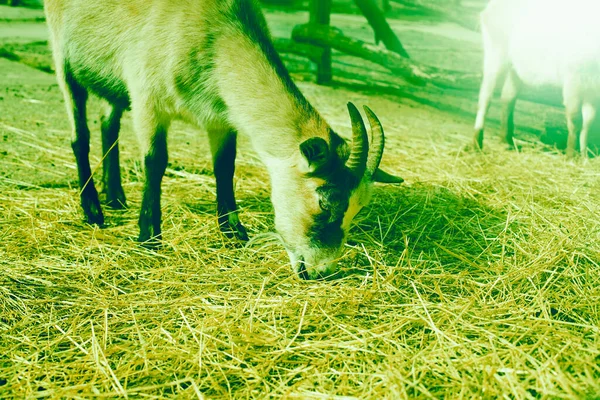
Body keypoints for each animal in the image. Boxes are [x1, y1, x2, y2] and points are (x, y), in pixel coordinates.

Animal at [45, 0, 404, 278]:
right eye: (325, 202)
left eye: (358, 208)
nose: (320, 271)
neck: (215, 33)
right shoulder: (148, 98)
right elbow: (155, 161)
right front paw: (149, 235)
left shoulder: (219, 116)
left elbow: (224, 166)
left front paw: (233, 230)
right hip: (64, 57)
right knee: (80, 135)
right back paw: (93, 209)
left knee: (108, 125)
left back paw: (116, 197)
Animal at [474, 0, 600, 156]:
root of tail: (490, 7)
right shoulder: (573, 80)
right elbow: (576, 120)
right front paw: (572, 155)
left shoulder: (593, 87)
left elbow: (588, 121)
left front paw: (583, 156)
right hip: (496, 52)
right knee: (485, 96)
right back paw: (476, 142)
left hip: (515, 66)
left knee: (507, 97)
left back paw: (506, 141)